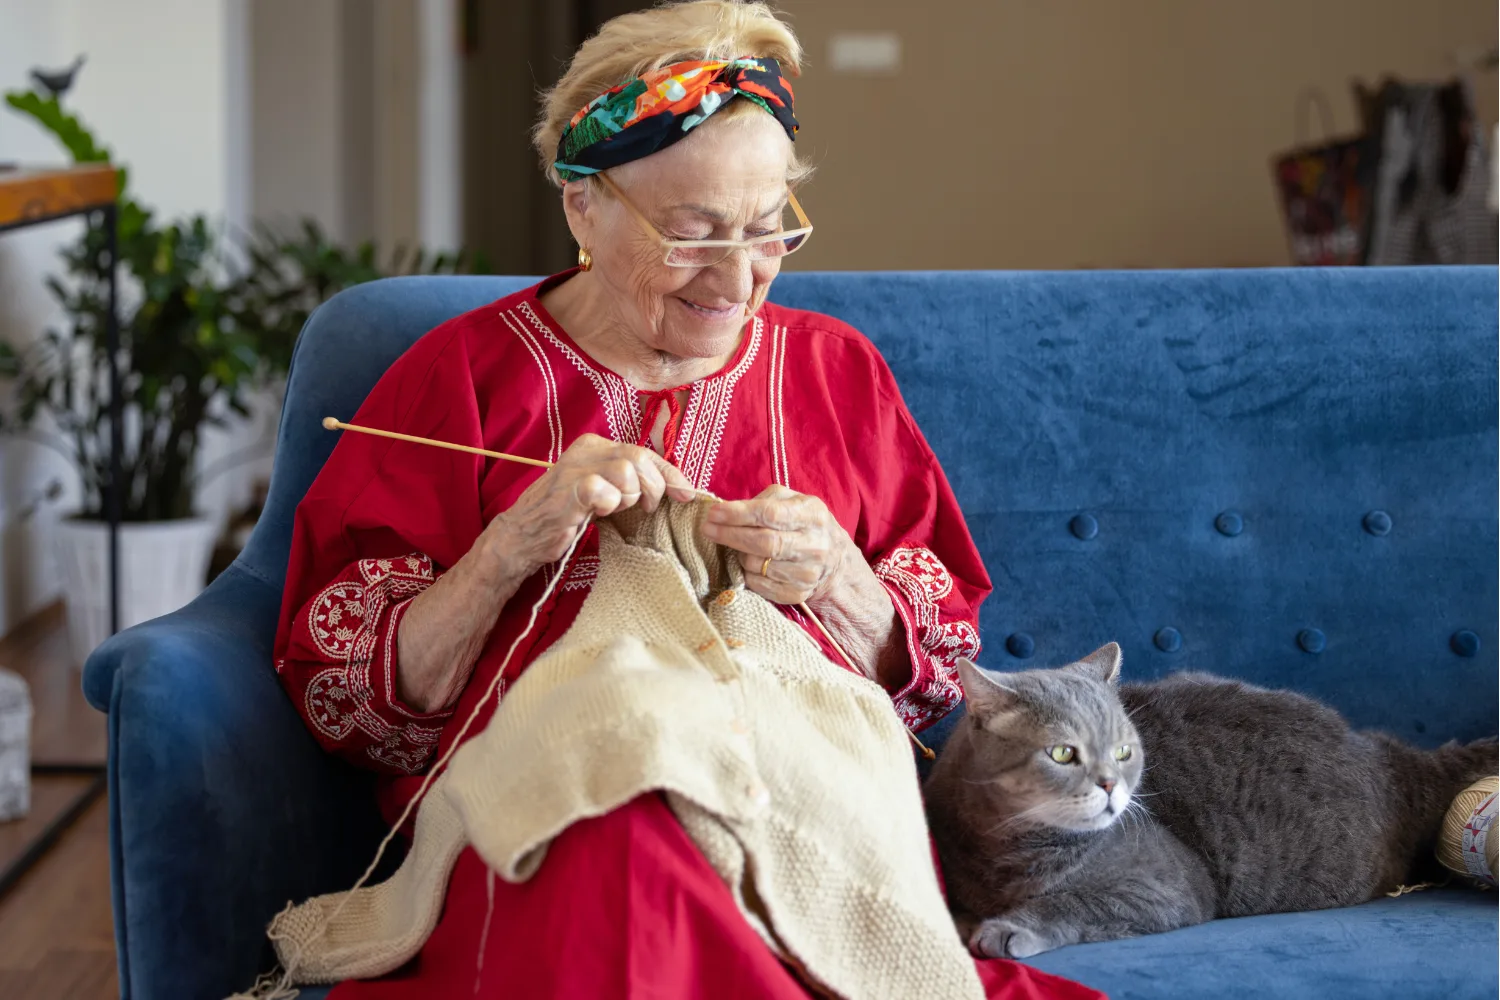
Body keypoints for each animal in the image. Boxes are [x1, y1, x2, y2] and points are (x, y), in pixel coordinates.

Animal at [924, 644, 1500, 959]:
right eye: (1063, 753)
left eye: (1124, 750)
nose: (1111, 785)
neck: (1009, 849)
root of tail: (1391, 756)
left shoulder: (1166, 886)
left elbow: (1074, 902)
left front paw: (1009, 928)